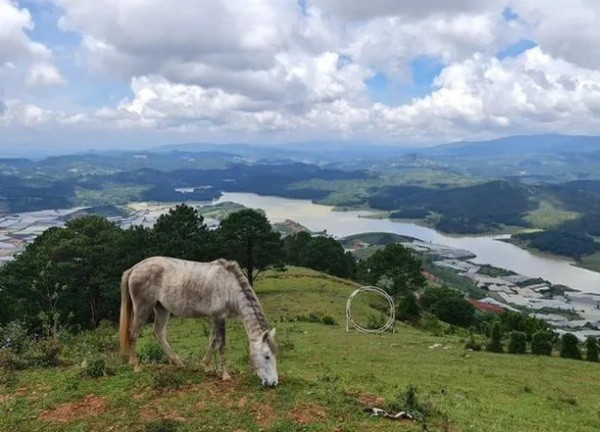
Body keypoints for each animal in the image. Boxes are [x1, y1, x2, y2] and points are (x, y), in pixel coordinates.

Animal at [119, 256, 278, 388]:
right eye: (267, 356)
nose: (274, 383)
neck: (228, 285)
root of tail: (134, 268)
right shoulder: (220, 317)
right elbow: (221, 344)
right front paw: (224, 374)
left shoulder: (216, 318)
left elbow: (213, 341)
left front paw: (207, 365)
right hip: (143, 309)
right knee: (133, 333)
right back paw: (136, 366)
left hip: (162, 309)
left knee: (159, 333)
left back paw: (178, 363)